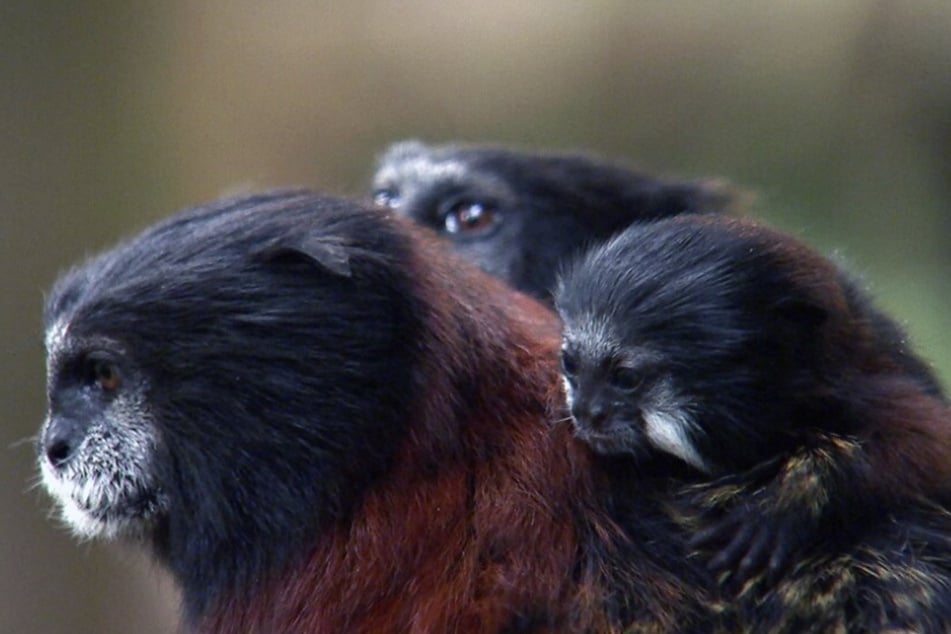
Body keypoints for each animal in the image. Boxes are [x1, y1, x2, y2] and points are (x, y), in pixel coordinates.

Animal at [556, 212, 951, 628]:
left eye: (626, 378)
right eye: (571, 364)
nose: (587, 412)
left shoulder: (863, 388)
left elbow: (931, 446)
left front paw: (796, 493)